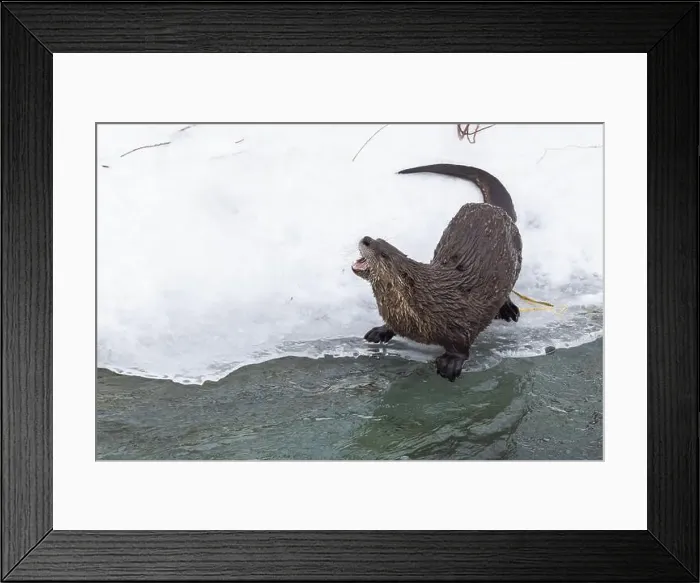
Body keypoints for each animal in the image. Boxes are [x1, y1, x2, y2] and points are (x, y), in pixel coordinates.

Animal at [351, 163, 522, 382]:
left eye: (383, 253)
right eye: (378, 239)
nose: (366, 239)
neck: (428, 305)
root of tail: (495, 209)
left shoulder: (461, 326)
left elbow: (462, 348)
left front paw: (450, 364)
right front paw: (380, 331)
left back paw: (508, 309)